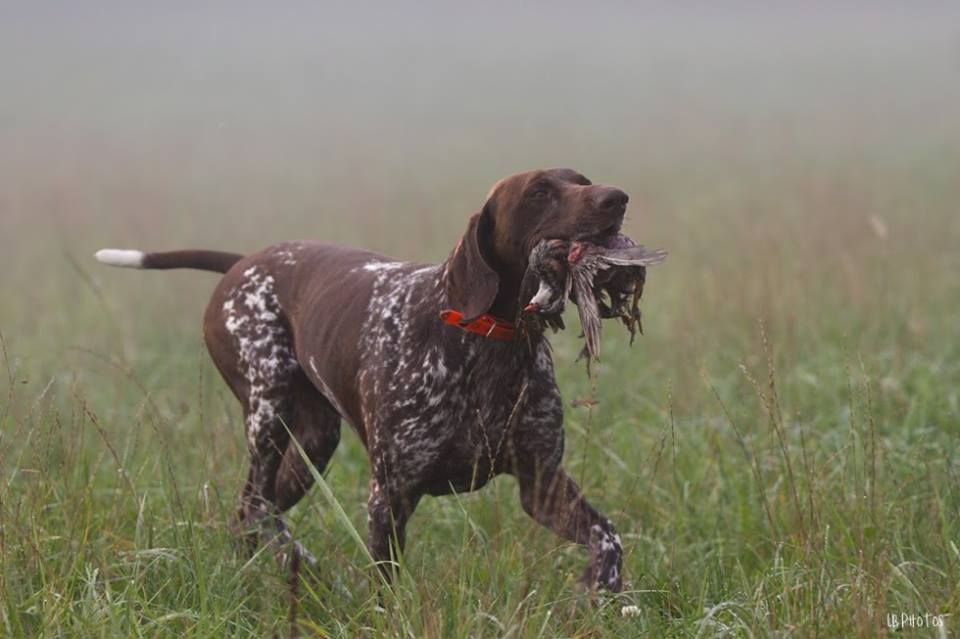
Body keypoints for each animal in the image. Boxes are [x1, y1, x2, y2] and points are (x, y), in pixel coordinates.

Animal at [97, 168, 632, 592]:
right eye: (539, 191)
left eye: (581, 179)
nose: (617, 198)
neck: (488, 347)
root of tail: (244, 262)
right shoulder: (389, 497)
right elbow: (386, 588)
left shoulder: (540, 484)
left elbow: (609, 538)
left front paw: (599, 588)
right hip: (268, 414)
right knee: (255, 507)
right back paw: (300, 563)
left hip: (313, 443)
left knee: (252, 515)